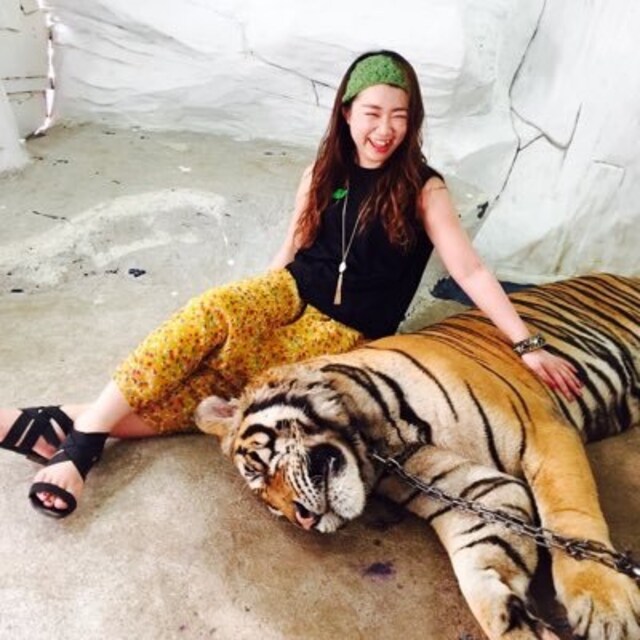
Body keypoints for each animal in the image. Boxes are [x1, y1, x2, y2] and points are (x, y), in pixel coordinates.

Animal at [195, 272, 640, 640]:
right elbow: (480, 568)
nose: (302, 519)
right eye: (270, 506)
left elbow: (570, 521)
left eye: (259, 466)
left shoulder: (543, 431)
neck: (380, 444)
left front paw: (606, 607)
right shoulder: (481, 495)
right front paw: (515, 621)